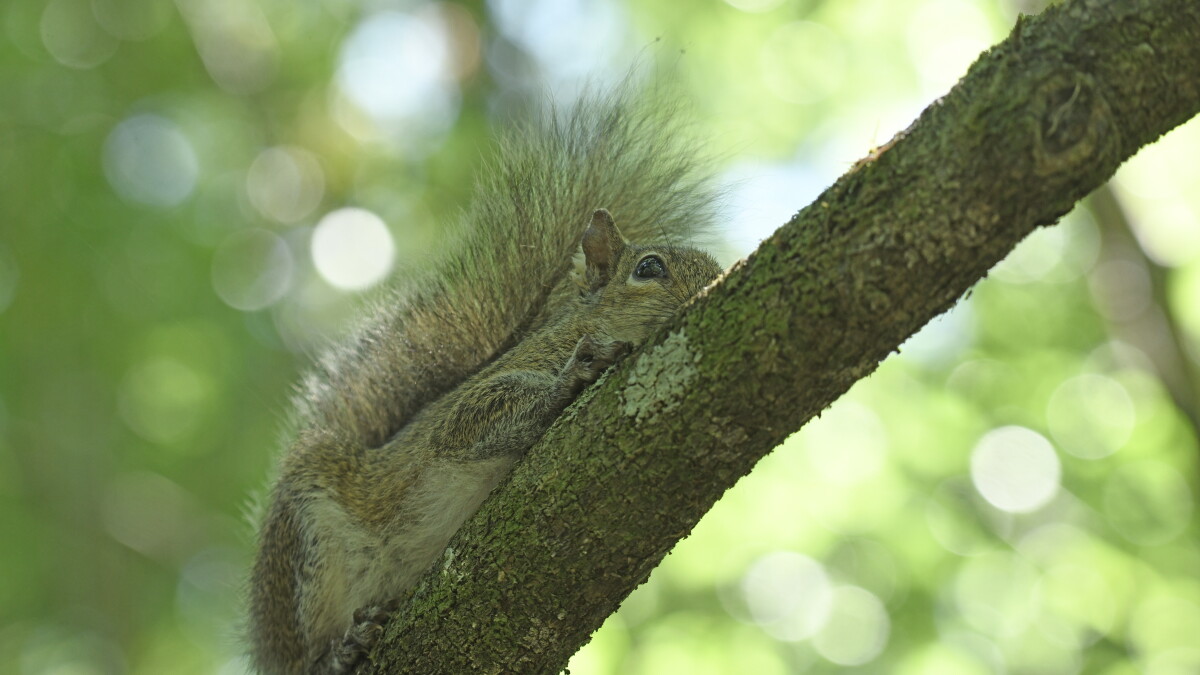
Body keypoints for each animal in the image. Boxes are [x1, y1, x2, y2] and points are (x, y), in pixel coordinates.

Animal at [247, 83, 723, 674]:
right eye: (650, 268)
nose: (715, 285)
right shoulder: (474, 402)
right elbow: (468, 422)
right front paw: (570, 380)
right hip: (304, 541)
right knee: (306, 645)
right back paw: (335, 652)